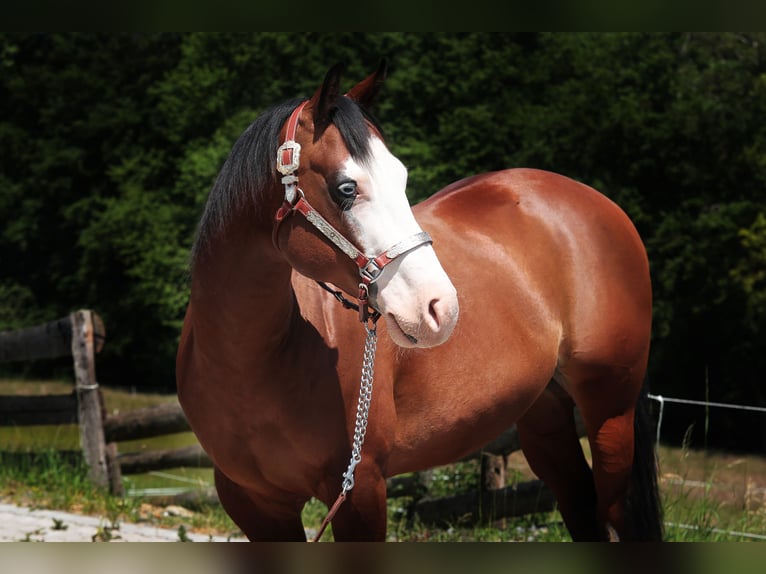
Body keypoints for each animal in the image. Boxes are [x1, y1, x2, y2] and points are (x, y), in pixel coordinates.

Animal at [177, 63, 664, 544]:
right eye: (346, 187)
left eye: (402, 177)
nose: (440, 308)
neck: (251, 362)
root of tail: (595, 200)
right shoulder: (254, 505)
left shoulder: (360, 487)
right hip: (546, 412)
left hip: (610, 409)